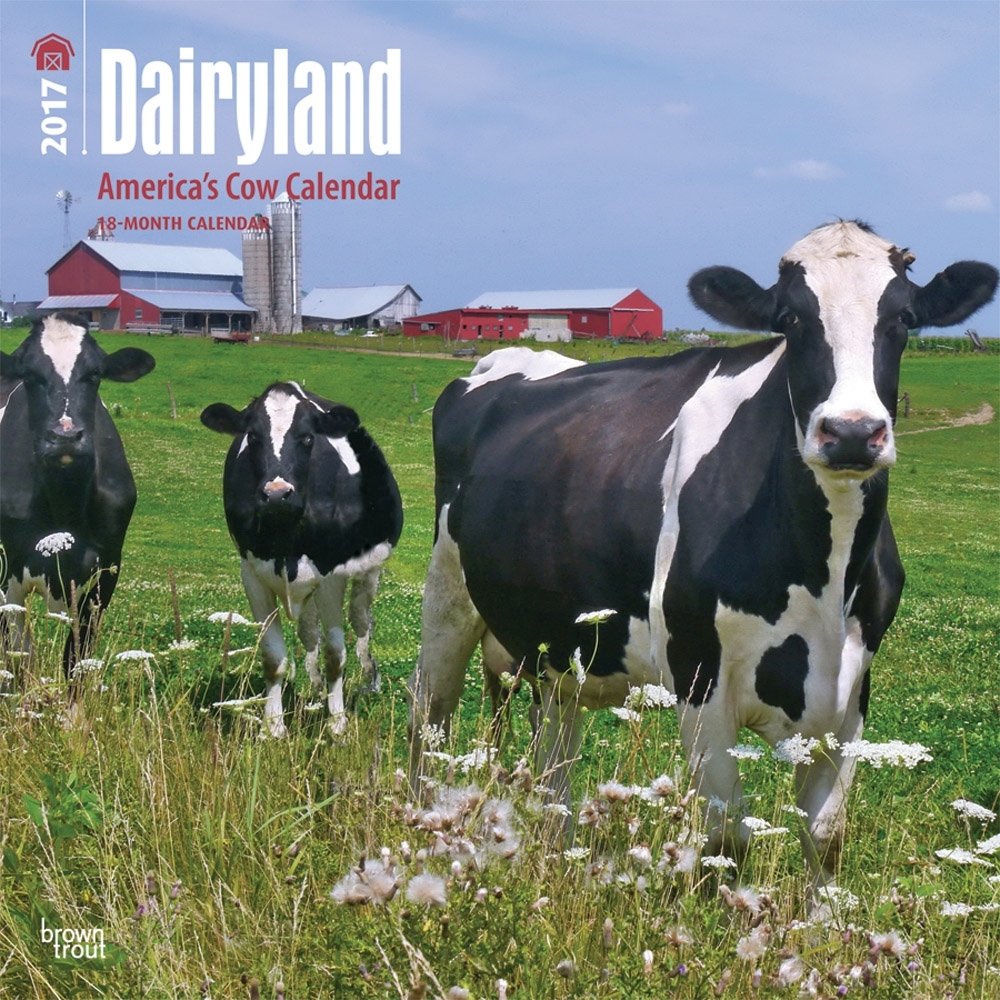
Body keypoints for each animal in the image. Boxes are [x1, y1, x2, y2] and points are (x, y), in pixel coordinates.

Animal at [0, 313, 156, 692]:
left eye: (94, 374)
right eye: (30, 375)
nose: (65, 436)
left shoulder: (105, 571)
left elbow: (77, 662)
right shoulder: (9, 570)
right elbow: (19, 659)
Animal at [200, 381, 403, 737]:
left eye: (308, 437)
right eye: (253, 436)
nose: (277, 493)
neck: (286, 534)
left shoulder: (332, 575)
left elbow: (336, 654)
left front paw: (337, 724)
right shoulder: (252, 572)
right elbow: (273, 657)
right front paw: (273, 727)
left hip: (369, 572)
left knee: (362, 621)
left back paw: (368, 681)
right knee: (309, 630)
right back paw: (313, 686)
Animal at [407, 221, 998, 890]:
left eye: (903, 319)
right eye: (791, 318)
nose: (850, 432)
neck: (822, 577)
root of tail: (512, 360)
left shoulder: (852, 691)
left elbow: (827, 838)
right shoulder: (699, 679)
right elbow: (726, 839)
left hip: (558, 639)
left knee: (554, 753)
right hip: (447, 591)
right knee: (430, 711)